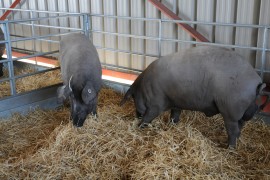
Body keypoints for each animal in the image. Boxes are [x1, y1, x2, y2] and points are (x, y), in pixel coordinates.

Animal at [121, 45, 264, 149]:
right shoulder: (176, 102)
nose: (136, 115)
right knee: (241, 124)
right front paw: (171, 125)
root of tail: (256, 80)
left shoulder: (156, 103)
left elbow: (148, 117)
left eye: (134, 98)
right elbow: (175, 115)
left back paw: (229, 148)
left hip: (230, 111)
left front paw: (139, 127)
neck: (145, 88)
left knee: (233, 130)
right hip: (241, 110)